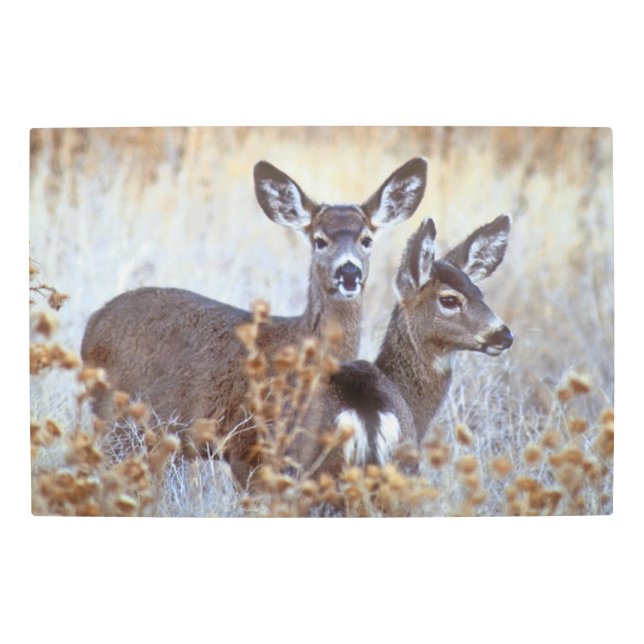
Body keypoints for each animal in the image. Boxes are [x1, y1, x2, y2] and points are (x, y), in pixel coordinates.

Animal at [80, 157, 428, 485]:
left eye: (366, 239)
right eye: (319, 240)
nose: (349, 272)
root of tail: (94, 322)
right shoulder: (247, 447)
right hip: (116, 419)